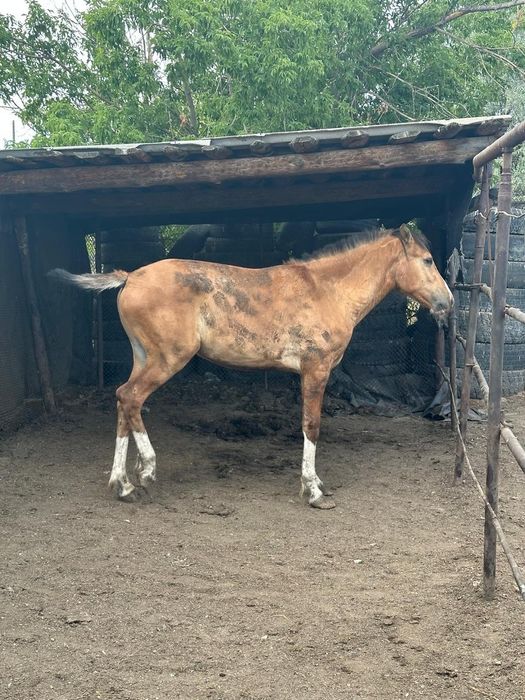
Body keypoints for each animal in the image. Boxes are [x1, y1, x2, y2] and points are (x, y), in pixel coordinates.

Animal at [51, 224, 453, 509]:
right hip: (167, 358)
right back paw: (146, 471)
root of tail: (130, 276)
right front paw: (313, 490)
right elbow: (311, 426)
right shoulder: (315, 370)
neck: (327, 290)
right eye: (428, 261)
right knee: (131, 399)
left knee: (123, 402)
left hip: (143, 358)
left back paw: (123, 485)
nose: (447, 302)